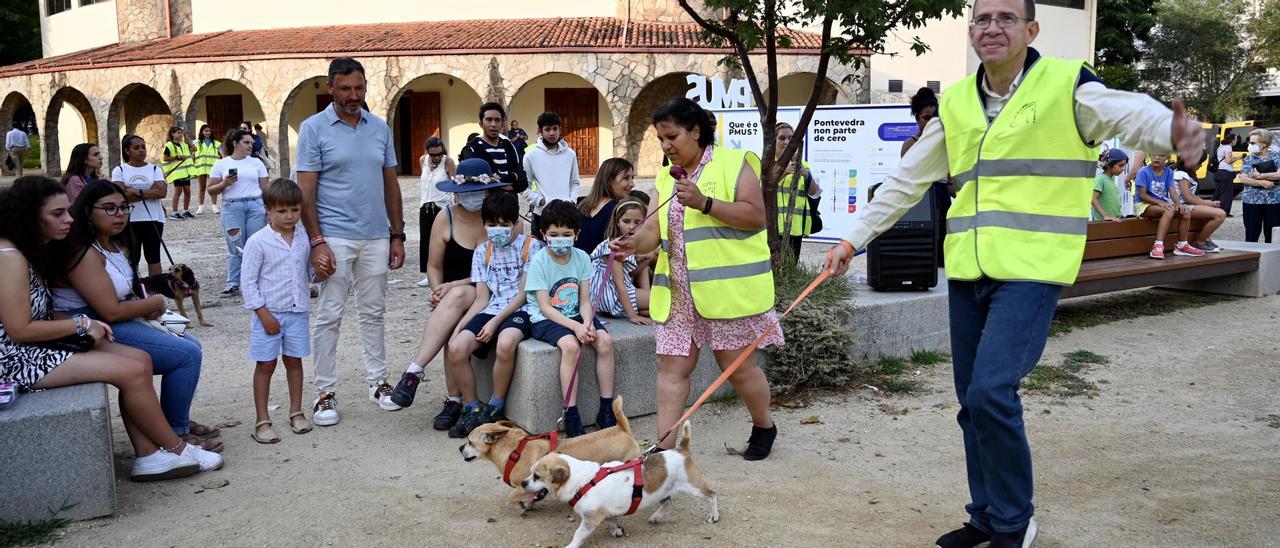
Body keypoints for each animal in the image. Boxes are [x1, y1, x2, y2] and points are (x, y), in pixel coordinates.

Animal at [460, 396, 640, 512]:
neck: (514, 450)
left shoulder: (521, 486)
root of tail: (621, 428)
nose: (460, 448)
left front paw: (525, 503)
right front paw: (530, 503)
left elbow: (511, 497)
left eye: (469, 442)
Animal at [522, 422, 721, 545]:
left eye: (537, 476)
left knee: (711, 495)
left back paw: (714, 515)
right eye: (530, 472)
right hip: (663, 490)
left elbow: (578, 535)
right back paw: (656, 517)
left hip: (694, 486)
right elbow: (613, 520)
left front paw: (571, 545)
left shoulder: (590, 520)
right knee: (667, 501)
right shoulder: (607, 511)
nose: (523, 483)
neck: (581, 480)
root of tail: (681, 449)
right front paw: (617, 529)